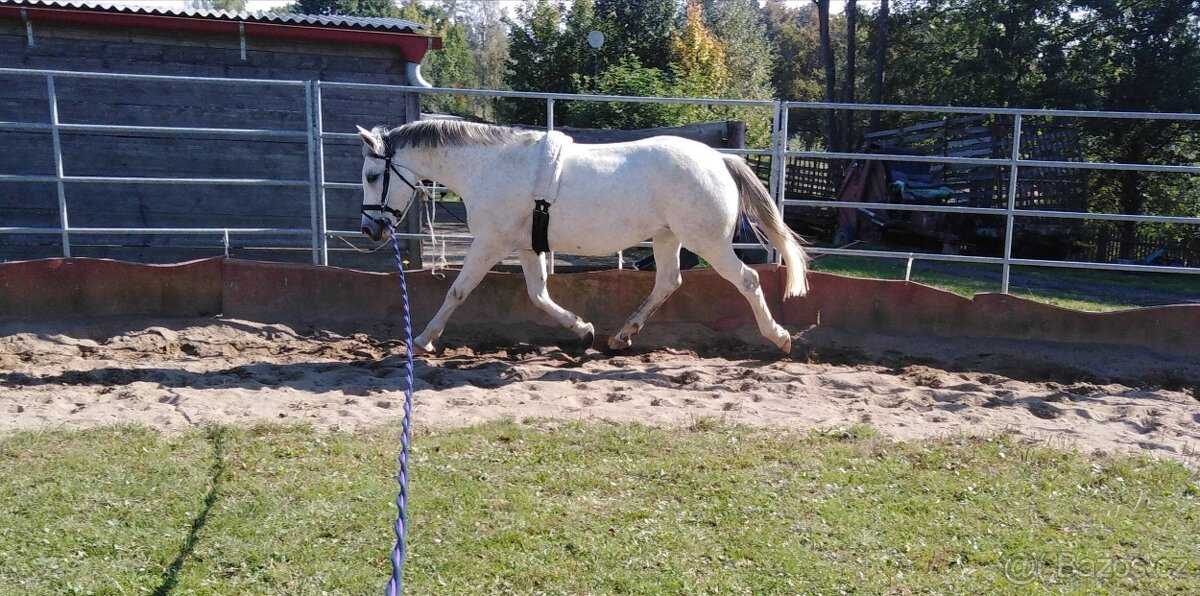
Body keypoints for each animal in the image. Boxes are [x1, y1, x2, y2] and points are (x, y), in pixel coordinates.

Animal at [356, 120, 809, 353]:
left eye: (372, 175)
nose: (369, 229)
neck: (491, 167)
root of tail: (720, 158)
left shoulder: (490, 243)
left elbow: (457, 291)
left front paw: (422, 340)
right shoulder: (525, 247)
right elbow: (539, 295)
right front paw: (583, 329)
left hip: (708, 241)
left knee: (747, 280)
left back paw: (780, 337)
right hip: (667, 238)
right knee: (668, 281)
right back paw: (620, 336)